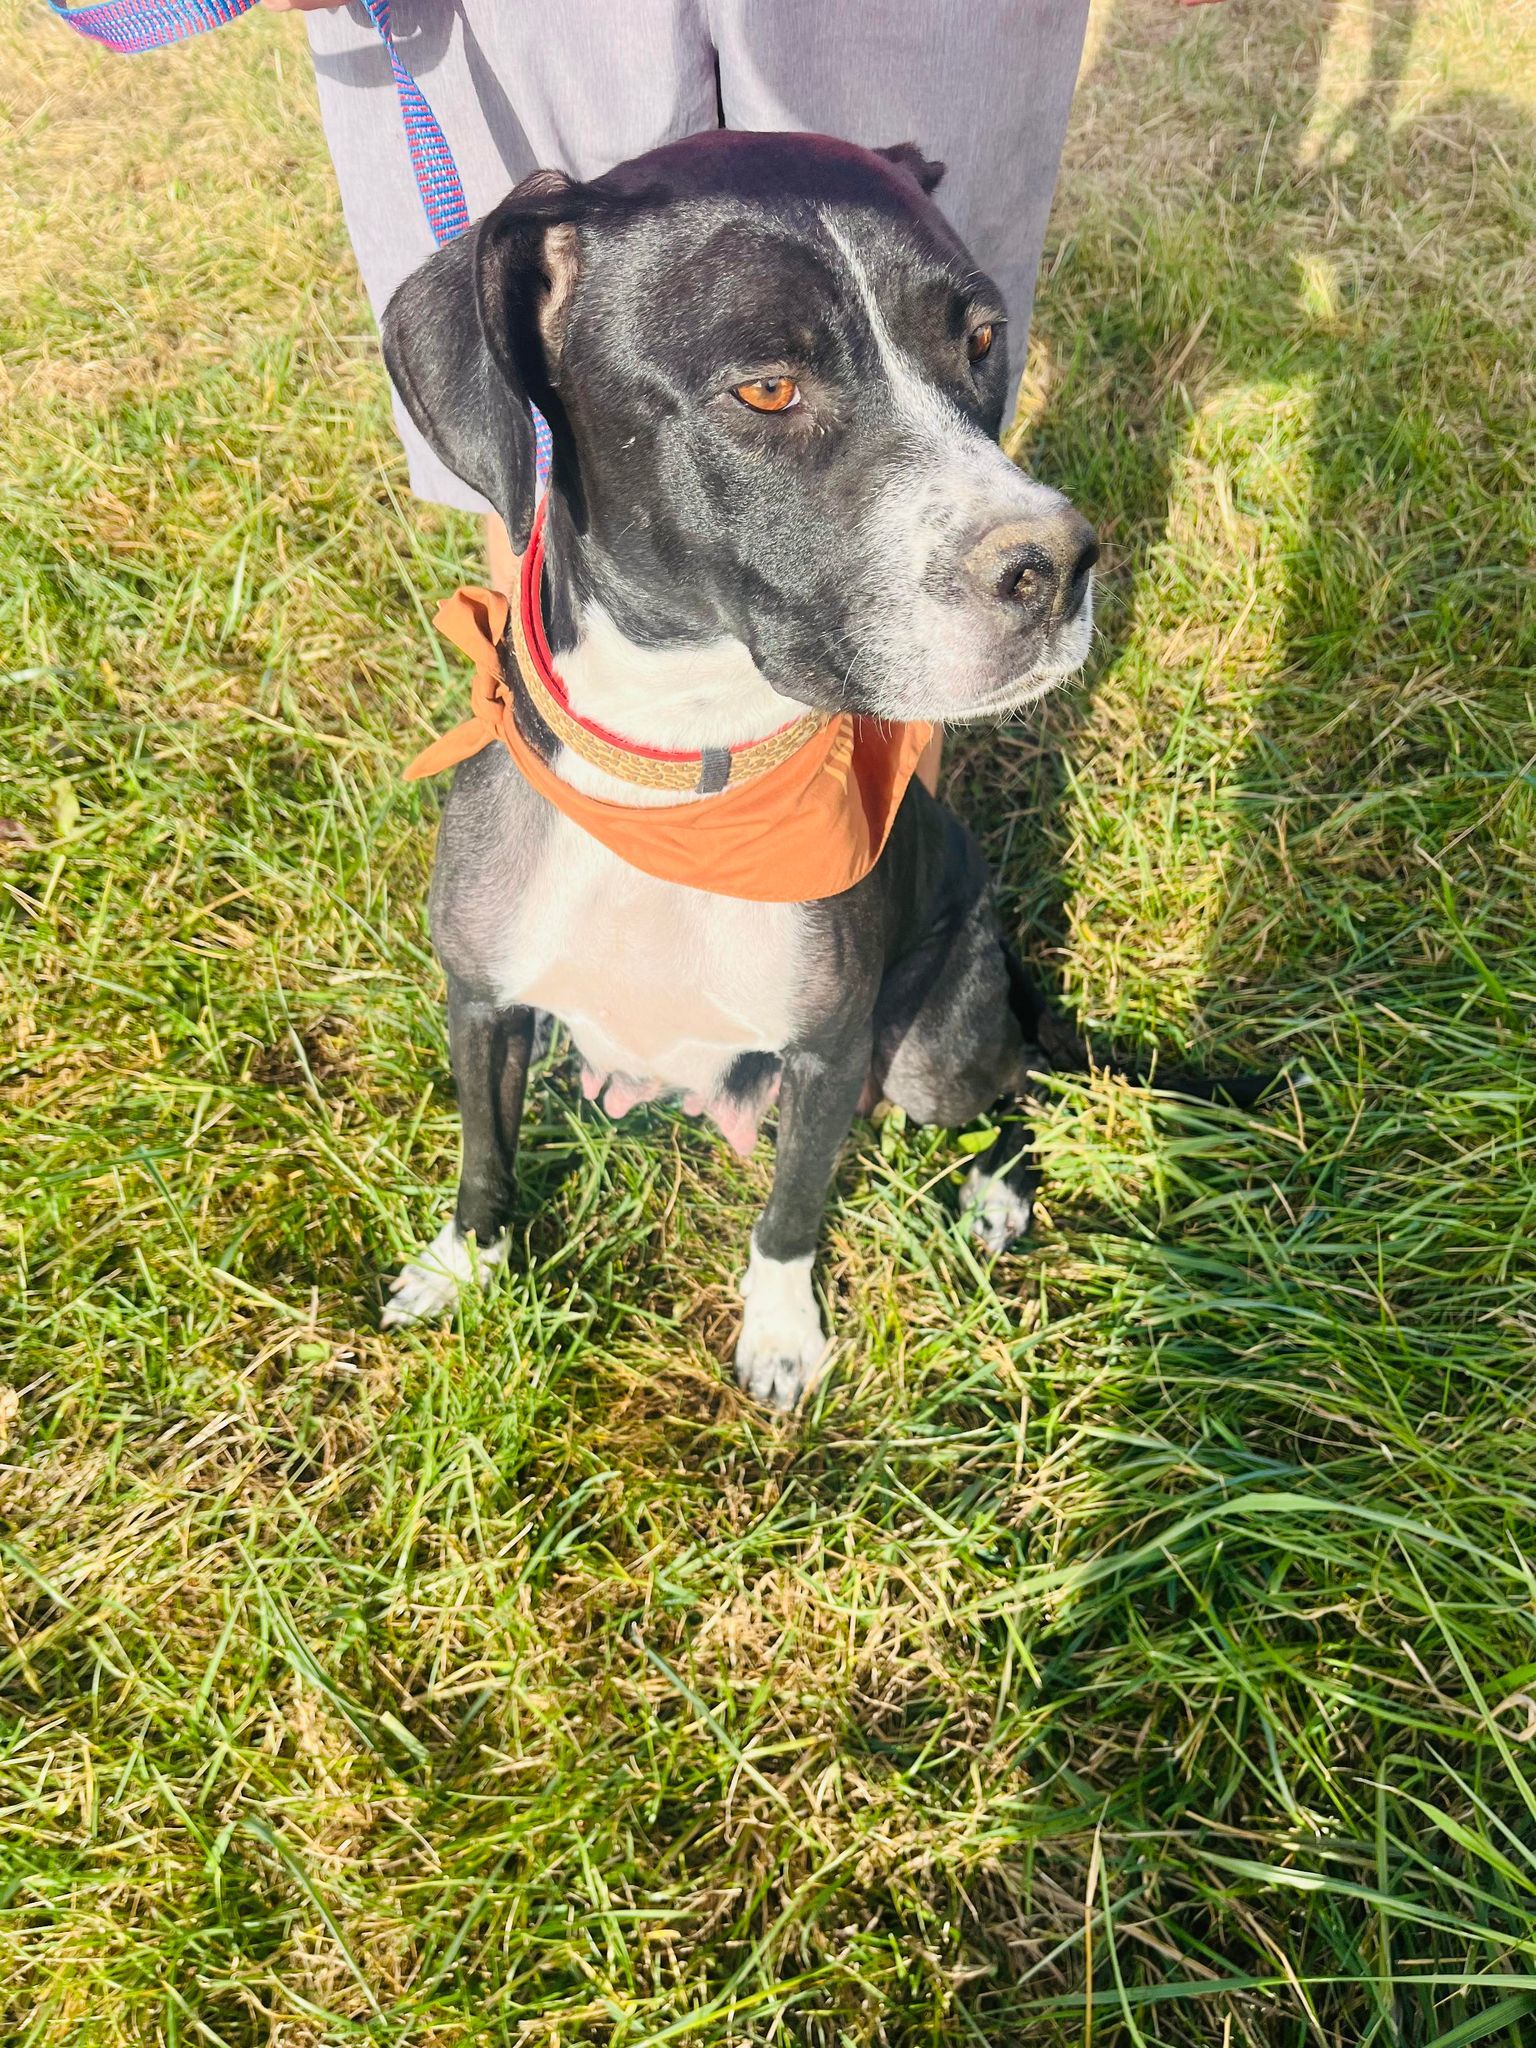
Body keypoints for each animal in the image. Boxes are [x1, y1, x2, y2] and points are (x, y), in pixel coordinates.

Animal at [378, 128, 1097, 1409]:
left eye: (980, 339)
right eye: (767, 388)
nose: (1056, 565)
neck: (682, 774)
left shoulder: (829, 1049)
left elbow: (791, 1211)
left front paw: (780, 1335)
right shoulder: (483, 1000)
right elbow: (482, 1154)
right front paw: (462, 1264)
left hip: (930, 1047)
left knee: (1015, 1085)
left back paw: (995, 1194)